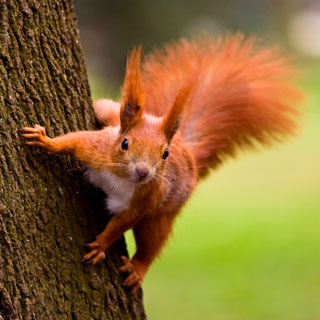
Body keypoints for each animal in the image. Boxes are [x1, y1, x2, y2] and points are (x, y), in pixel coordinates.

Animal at [21, 34, 302, 292]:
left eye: (165, 153)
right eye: (124, 143)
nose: (143, 172)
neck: (122, 177)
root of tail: (188, 152)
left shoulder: (146, 199)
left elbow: (121, 223)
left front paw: (101, 245)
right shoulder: (97, 149)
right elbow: (73, 141)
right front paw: (45, 140)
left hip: (163, 215)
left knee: (152, 242)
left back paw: (138, 268)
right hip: (109, 114)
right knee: (104, 108)